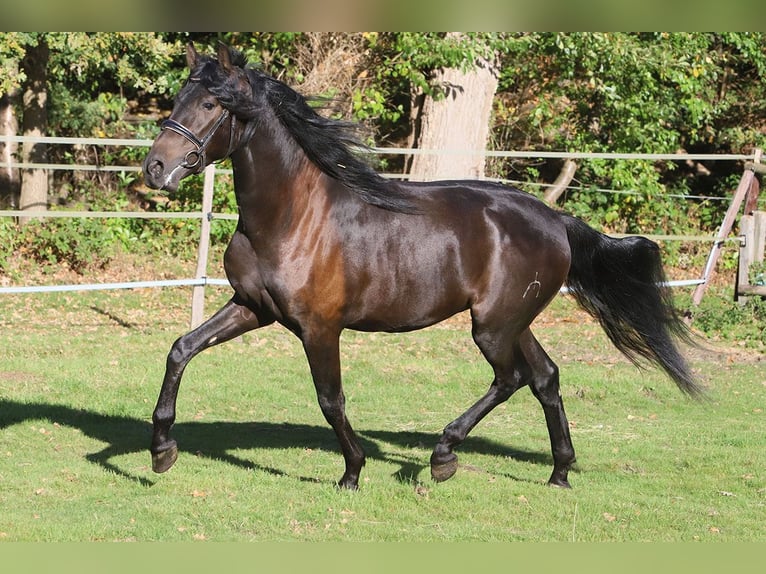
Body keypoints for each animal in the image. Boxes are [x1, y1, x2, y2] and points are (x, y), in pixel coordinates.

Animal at [142, 43, 702, 490]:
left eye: (211, 103)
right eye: (177, 99)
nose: (154, 168)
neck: (291, 218)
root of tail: (555, 219)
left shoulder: (319, 328)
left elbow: (331, 400)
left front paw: (352, 473)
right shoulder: (252, 307)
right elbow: (180, 349)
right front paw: (162, 451)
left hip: (492, 326)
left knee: (512, 378)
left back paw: (443, 456)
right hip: (512, 321)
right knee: (545, 376)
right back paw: (559, 472)